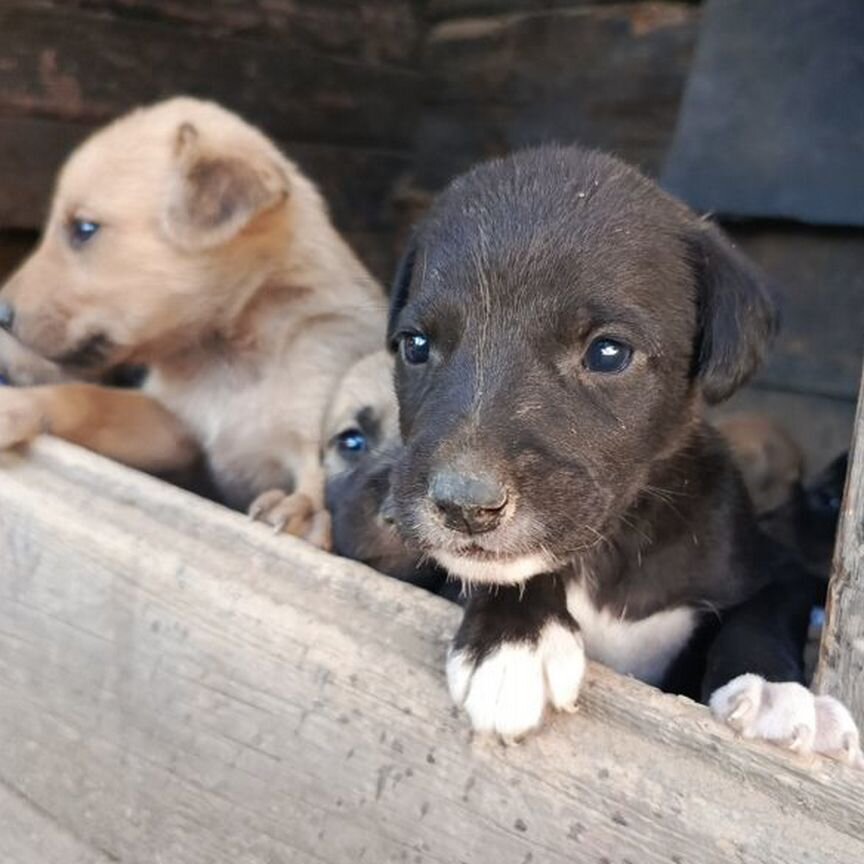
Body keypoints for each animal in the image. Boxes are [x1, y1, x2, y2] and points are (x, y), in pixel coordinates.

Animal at [0, 98, 384, 544]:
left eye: (84, 228)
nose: (2, 314)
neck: (227, 356)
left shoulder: (314, 424)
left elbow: (317, 483)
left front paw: (301, 513)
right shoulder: (173, 427)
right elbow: (88, 398)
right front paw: (18, 404)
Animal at [388, 145, 860, 760]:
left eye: (608, 353)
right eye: (416, 345)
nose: (465, 506)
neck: (613, 550)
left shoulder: (779, 569)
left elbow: (764, 612)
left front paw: (775, 690)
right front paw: (515, 641)